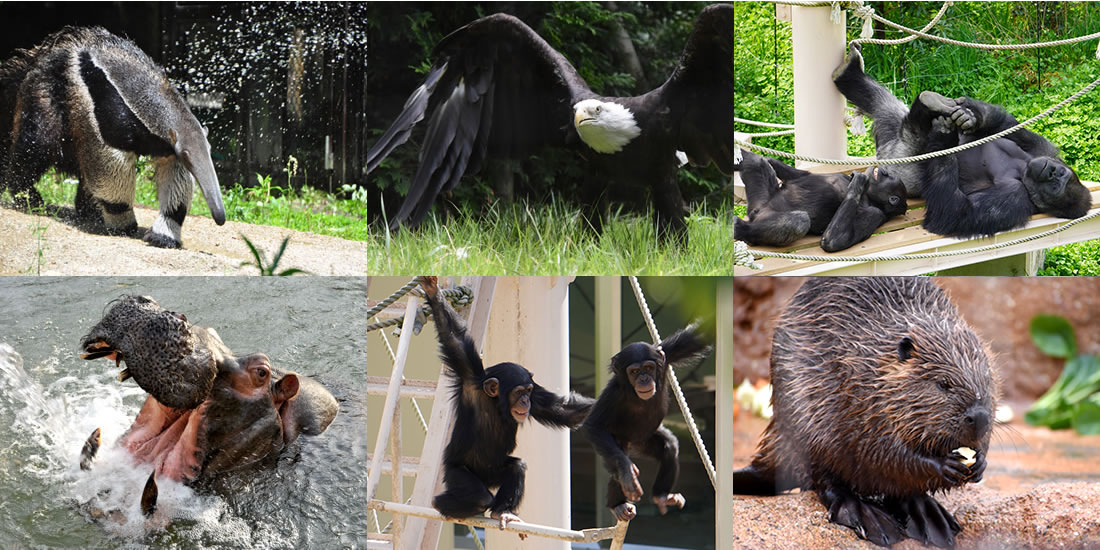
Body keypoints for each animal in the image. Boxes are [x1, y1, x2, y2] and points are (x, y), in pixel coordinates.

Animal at [418, 277, 594, 534]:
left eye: (528, 391)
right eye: (519, 392)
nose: (525, 401)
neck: (496, 403)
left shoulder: (538, 398)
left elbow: (565, 412)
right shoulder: (469, 377)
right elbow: (453, 338)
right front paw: (433, 291)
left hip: (495, 472)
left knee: (516, 468)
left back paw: (502, 511)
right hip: (456, 472)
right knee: (480, 496)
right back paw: (442, 504)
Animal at [580, 323, 708, 521]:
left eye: (648, 368)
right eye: (634, 371)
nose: (644, 379)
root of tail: (635, 443)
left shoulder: (666, 355)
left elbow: (699, 337)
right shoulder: (612, 393)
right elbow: (593, 425)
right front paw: (627, 472)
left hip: (647, 440)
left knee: (669, 447)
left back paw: (662, 496)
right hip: (616, 442)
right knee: (616, 464)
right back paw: (618, 505)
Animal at [734, 151, 906, 251]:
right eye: (888, 175)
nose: (883, 170)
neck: (870, 196)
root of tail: (755, 214)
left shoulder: (875, 214)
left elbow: (834, 241)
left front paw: (859, 180)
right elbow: (800, 175)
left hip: (761, 215)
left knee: (799, 221)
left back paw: (741, 229)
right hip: (759, 201)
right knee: (755, 160)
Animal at [734, 281, 1003, 547]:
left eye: (987, 379)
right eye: (943, 383)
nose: (979, 417)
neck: (875, 358)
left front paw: (979, 463)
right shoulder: (851, 392)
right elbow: (881, 452)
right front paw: (946, 465)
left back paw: (928, 515)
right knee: (826, 480)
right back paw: (870, 516)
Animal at [831, 45, 1091, 238]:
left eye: (1056, 187)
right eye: (1059, 173)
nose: (1051, 172)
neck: (1024, 168)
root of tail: (885, 151)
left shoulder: (1016, 199)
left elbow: (953, 213)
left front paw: (944, 135)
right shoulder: (1043, 149)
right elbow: (1005, 125)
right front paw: (970, 117)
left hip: (898, 157)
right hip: (892, 132)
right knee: (884, 104)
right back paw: (850, 72)